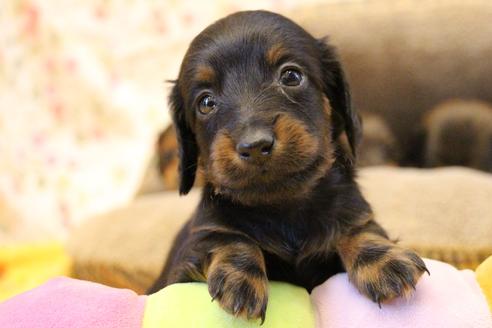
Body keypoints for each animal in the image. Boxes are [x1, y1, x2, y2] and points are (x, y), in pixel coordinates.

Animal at [148, 10, 428, 322]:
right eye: (206, 102)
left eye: (291, 76)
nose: (255, 145)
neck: (283, 205)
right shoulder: (191, 259)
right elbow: (224, 237)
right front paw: (240, 277)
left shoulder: (352, 211)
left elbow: (358, 226)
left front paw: (383, 261)